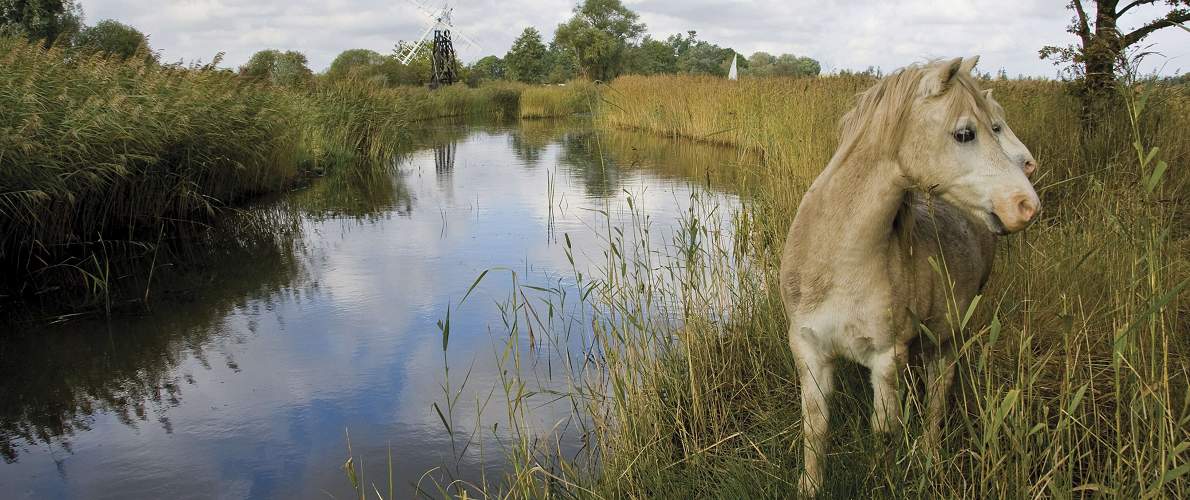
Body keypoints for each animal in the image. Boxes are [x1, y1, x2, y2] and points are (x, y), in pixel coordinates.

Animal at [775, 56, 1037, 495]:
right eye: (966, 133)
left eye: (994, 126)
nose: (1025, 204)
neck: (840, 264)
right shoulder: (808, 349)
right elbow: (816, 429)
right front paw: (809, 487)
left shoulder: (886, 358)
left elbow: (884, 432)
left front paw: (882, 482)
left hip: (948, 338)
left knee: (937, 398)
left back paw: (930, 460)